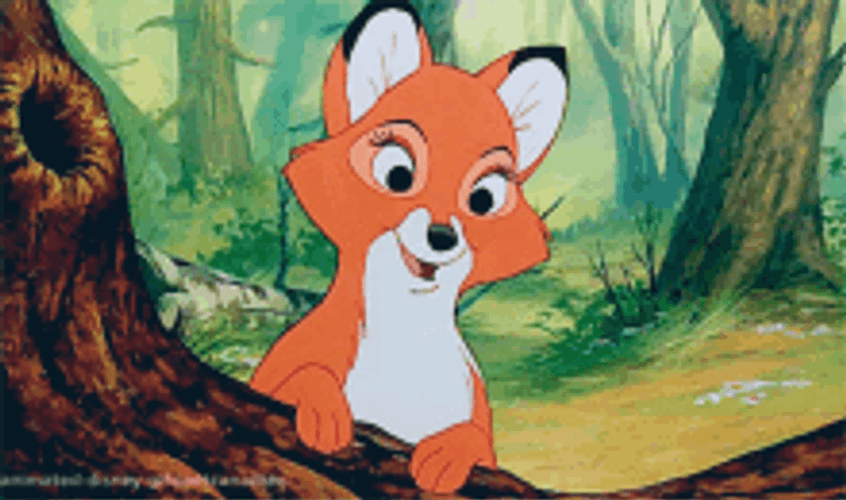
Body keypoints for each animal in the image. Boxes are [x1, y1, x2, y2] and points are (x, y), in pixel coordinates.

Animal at [249, 0, 569, 494]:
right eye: (398, 175)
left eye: (484, 199)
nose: (442, 235)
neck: (408, 341)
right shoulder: (279, 373)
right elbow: (304, 378)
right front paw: (323, 410)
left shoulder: (482, 426)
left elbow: (474, 439)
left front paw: (448, 454)